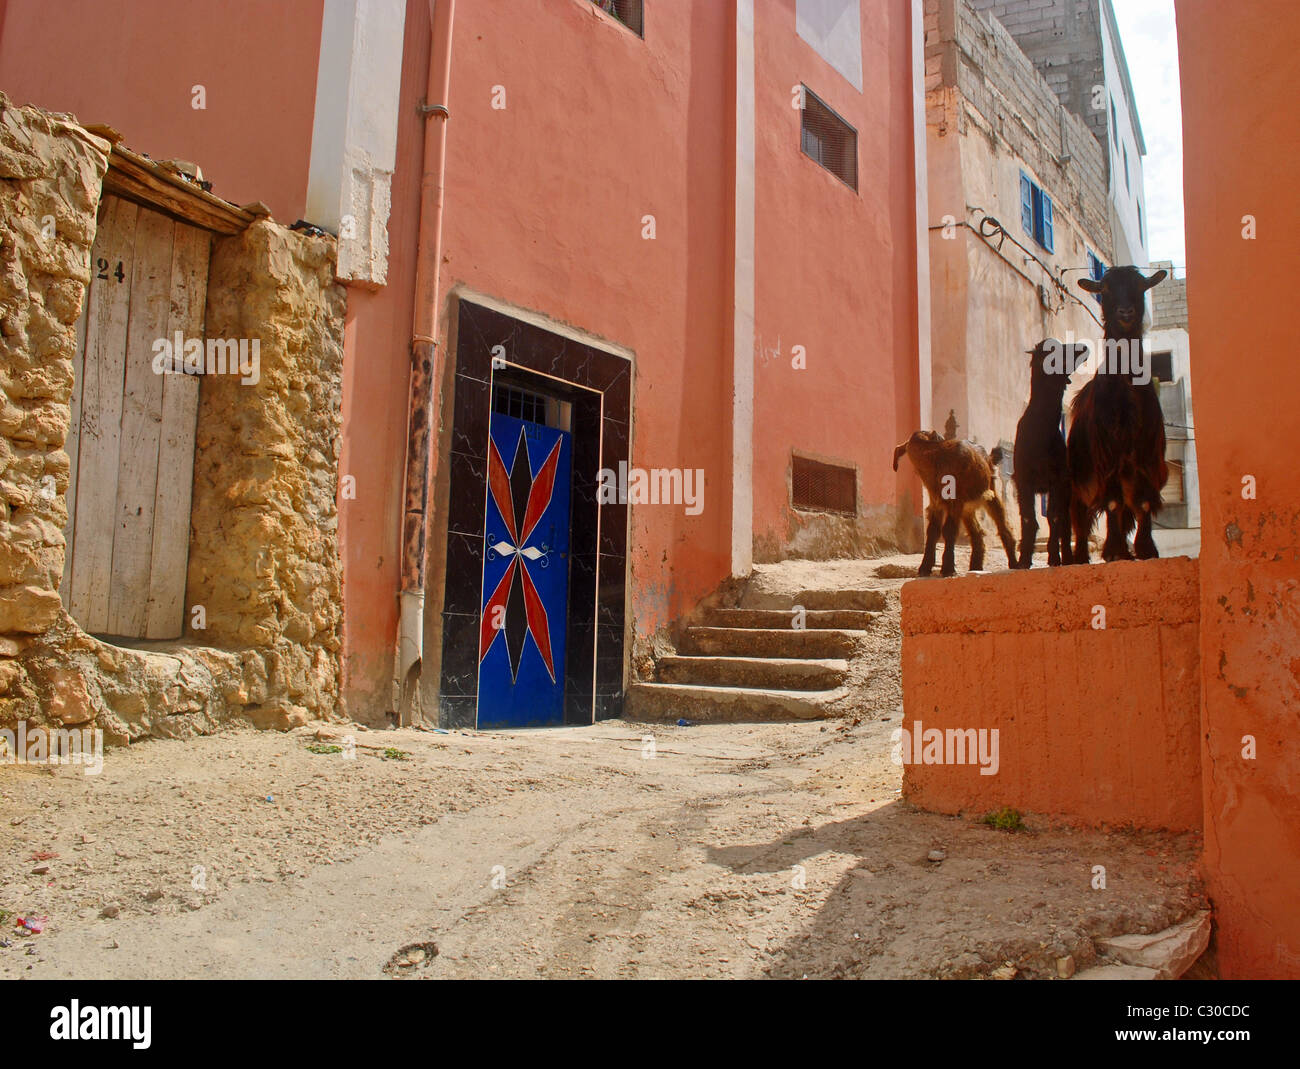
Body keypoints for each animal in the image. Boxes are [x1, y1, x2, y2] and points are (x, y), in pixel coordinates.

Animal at [894, 431, 1013, 577]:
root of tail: (988, 458)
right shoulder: (936, 503)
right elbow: (932, 531)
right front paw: (925, 567)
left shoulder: (955, 502)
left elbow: (949, 530)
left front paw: (948, 568)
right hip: (967, 508)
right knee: (977, 532)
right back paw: (976, 566)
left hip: (989, 494)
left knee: (1003, 525)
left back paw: (1014, 563)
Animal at [1013, 340, 1086, 569]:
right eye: (1055, 351)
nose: (1083, 347)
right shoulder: (1023, 480)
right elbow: (1028, 519)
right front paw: (1023, 560)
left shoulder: (1059, 480)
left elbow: (1054, 518)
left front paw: (1054, 557)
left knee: (1065, 523)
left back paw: (1067, 558)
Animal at [1066, 267, 1170, 564]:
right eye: (1106, 289)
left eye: (1141, 286)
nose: (1125, 312)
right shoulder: (1107, 456)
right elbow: (1112, 502)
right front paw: (1114, 551)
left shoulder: (1146, 456)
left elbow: (1143, 503)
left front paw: (1145, 549)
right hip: (1077, 483)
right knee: (1080, 518)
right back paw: (1079, 556)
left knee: (1126, 509)